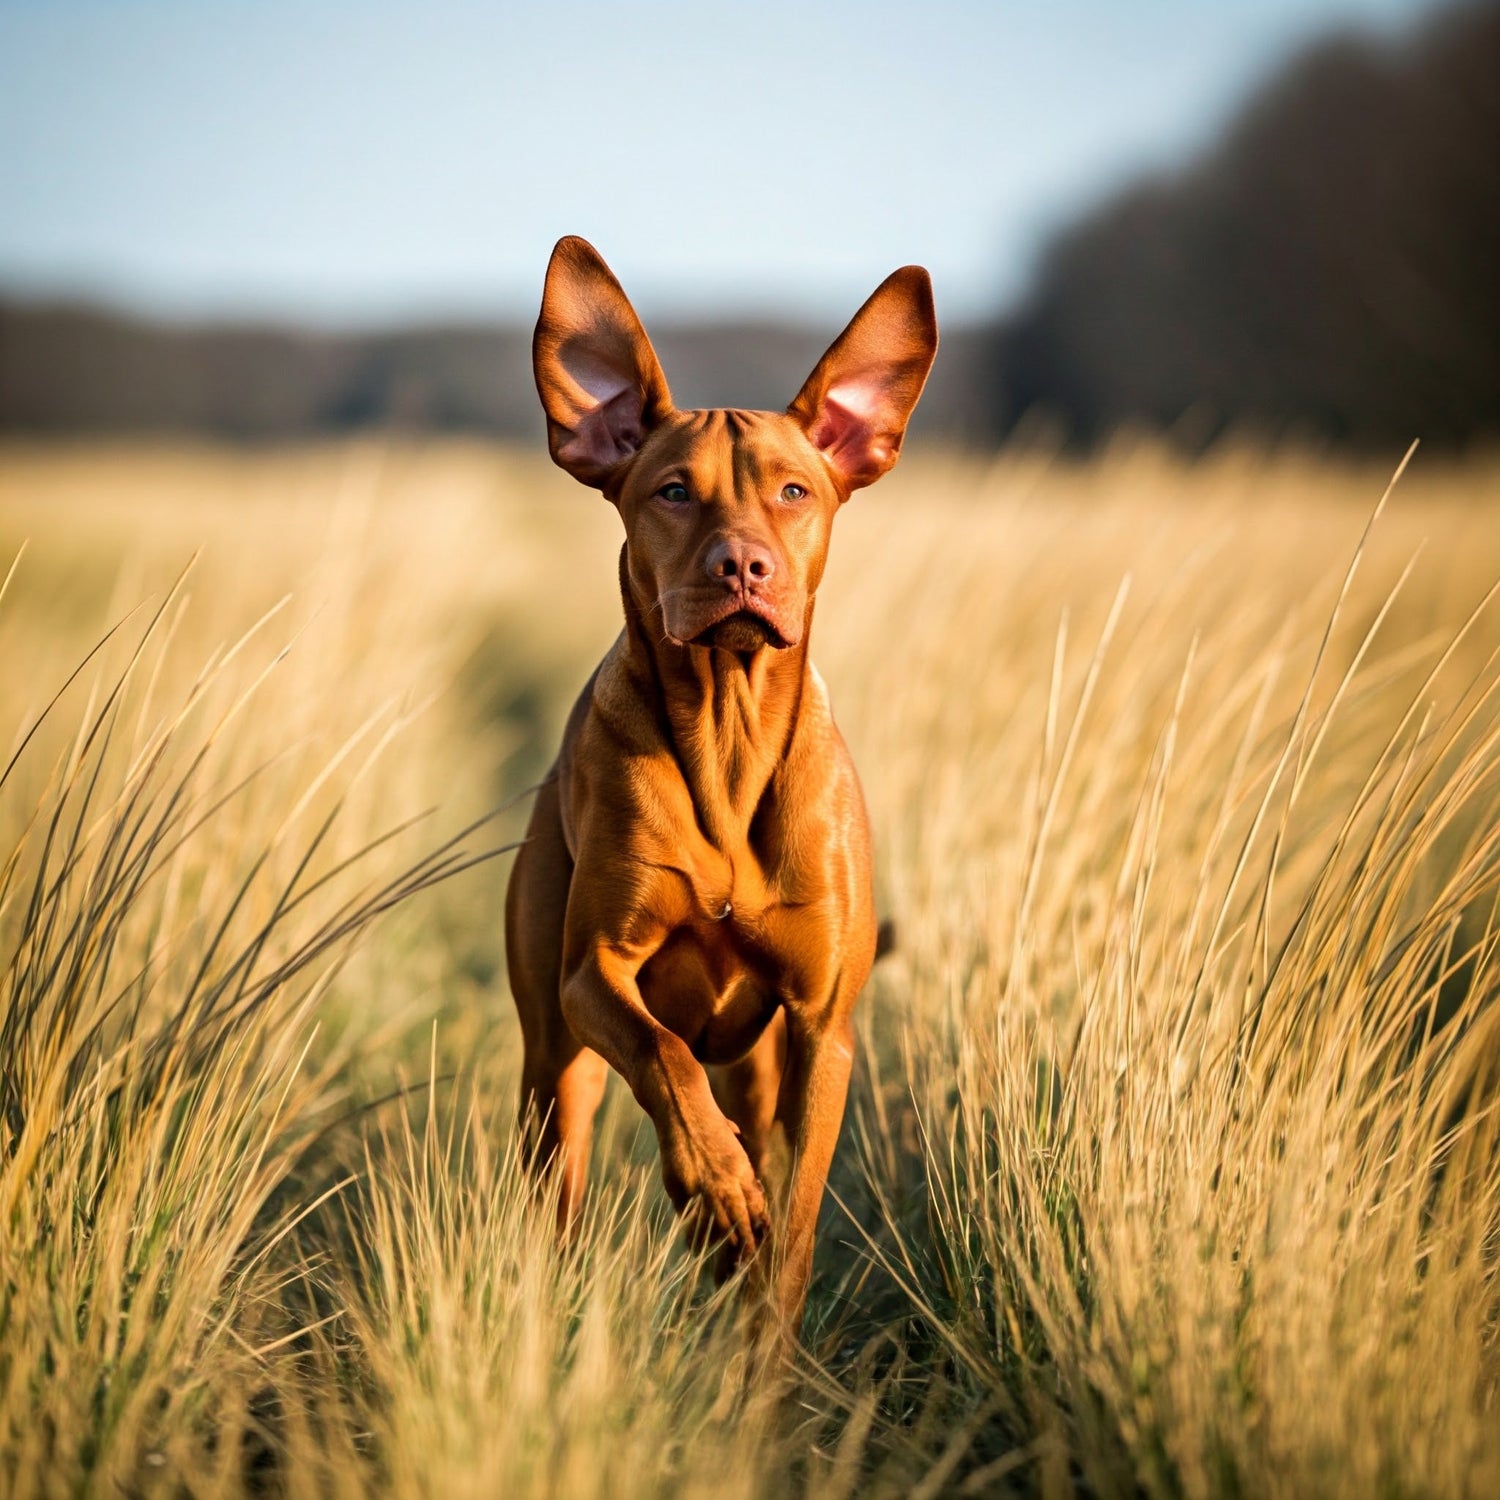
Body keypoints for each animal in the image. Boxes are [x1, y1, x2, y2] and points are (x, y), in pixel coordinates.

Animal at [507, 237, 936, 1338]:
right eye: (672, 492)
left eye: (793, 492)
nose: (743, 567)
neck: (727, 742)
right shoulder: (591, 975)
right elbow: (663, 1056)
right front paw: (715, 1188)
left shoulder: (822, 1030)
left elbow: (791, 1232)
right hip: (553, 1062)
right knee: (564, 1167)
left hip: (758, 1060)